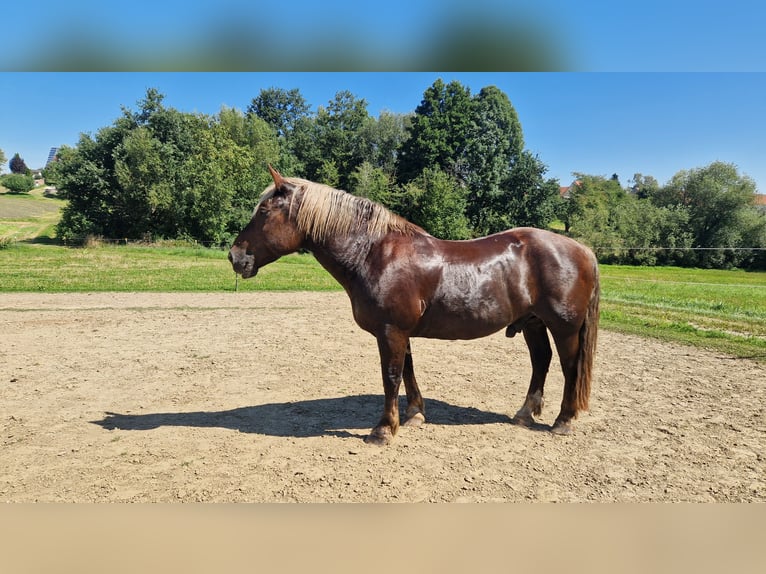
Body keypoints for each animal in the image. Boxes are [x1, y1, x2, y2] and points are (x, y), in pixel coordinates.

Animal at [228, 166, 600, 446]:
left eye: (264, 212)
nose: (235, 256)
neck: (374, 252)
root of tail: (582, 249)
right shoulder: (398, 331)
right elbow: (407, 370)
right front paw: (414, 415)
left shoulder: (391, 330)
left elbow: (391, 376)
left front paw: (382, 430)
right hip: (533, 322)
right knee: (541, 361)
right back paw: (524, 414)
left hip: (564, 326)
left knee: (569, 366)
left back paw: (563, 421)